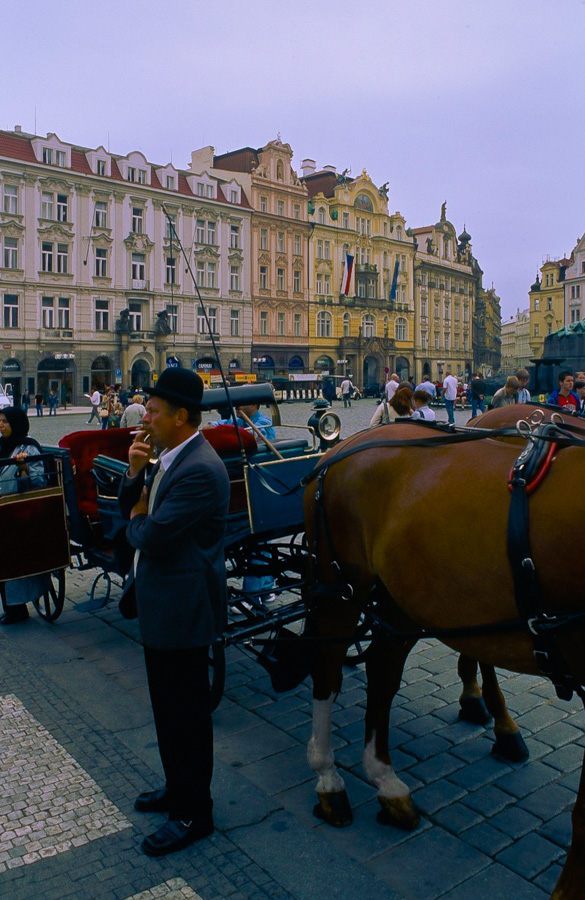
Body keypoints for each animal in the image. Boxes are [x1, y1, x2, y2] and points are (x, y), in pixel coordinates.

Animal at [304, 414, 584, 900]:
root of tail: (336, 448)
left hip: (406, 595)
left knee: (381, 670)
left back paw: (389, 785)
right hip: (339, 586)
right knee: (328, 671)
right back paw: (329, 780)